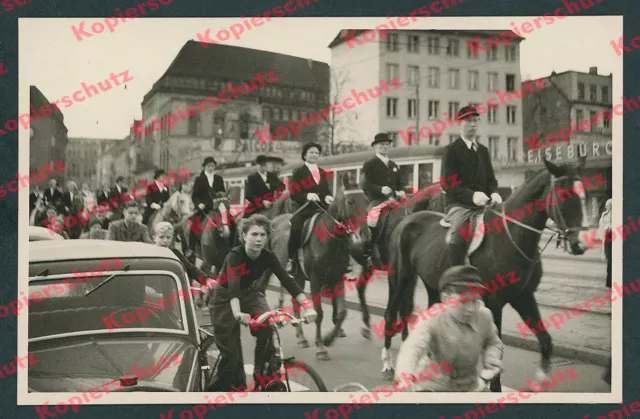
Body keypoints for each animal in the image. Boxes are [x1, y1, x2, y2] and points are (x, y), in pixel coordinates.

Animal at [268, 176, 370, 362]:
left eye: (366, 200)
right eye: (350, 202)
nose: (365, 237)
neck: (331, 238)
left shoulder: (337, 278)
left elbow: (342, 312)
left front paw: (329, 338)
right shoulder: (315, 279)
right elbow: (319, 313)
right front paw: (321, 347)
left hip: (298, 276)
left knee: (295, 301)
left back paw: (300, 336)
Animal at [382, 159, 588, 392]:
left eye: (584, 195)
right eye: (565, 195)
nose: (580, 244)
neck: (510, 236)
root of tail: (405, 220)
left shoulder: (524, 296)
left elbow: (545, 340)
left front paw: (540, 378)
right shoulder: (494, 302)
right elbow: (495, 349)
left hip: (431, 283)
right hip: (399, 278)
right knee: (390, 314)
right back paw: (388, 364)